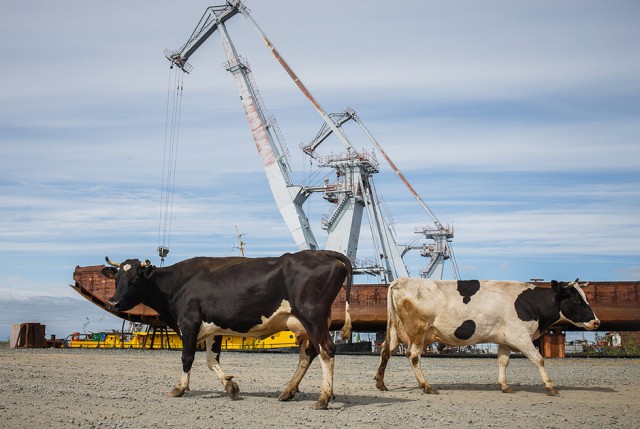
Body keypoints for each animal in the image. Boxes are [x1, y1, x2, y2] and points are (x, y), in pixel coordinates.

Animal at [100, 249, 352, 410]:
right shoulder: (214, 329)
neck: (174, 283)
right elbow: (212, 361)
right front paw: (230, 385)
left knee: (326, 351)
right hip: (309, 322)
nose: (113, 302)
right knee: (308, 354)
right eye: (116, 279)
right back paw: (288, 391)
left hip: (313, 317)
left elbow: (187, 357)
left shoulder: (189, 321)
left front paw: (180, 388)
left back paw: (323, 398)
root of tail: (323, 253)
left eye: (134, 279)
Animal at [376, 278, 600, 394]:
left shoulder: (505, 340)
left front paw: (505, 385)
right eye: (577, 300)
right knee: (413, 356)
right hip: (418, 331)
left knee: (386, 351)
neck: (529, 303)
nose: (596, 322)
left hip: (395, 330)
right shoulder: (520, 336)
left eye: (585, 298)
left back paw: (380, 383)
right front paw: (550, 386)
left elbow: (503, 361)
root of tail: (401, 281)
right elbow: (539, 359)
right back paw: (426, 386)